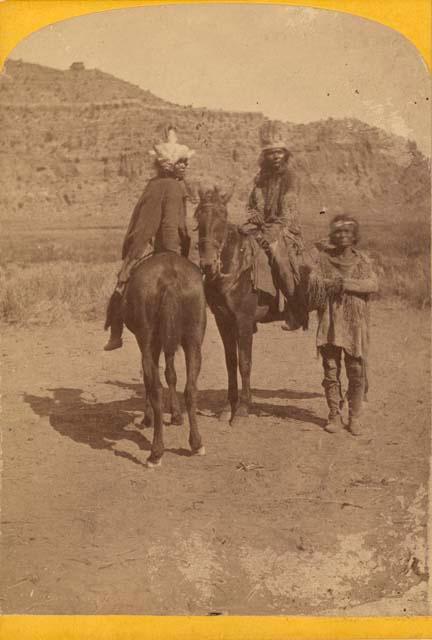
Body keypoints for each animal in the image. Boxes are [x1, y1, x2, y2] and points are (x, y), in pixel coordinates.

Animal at [120, 252, 207, 468]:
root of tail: (170, 279)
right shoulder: (168, 344)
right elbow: (172, 375)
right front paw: (176, 415)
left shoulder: (151, 344)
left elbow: (151, 380)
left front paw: (147, 418)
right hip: (193, 341)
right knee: (191, 389)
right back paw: (196, 443)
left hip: (148, 342)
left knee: (155, 389)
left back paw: (156, 452)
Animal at [196, 185, 308, 424]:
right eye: (198, 218)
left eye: (222, 218)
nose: (208, 264)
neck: (236, 270)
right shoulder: (223, 322)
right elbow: (231, 363)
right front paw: (227, 408)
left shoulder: (244, 322)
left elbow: (245, 363)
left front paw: (242, 409)